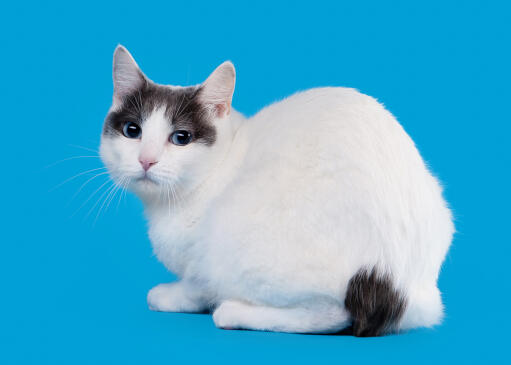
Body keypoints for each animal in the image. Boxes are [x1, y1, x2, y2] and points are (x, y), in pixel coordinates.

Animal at [101, 45, 456, 336]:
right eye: (132, 131)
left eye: (181, 138)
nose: (146, 160)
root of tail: (393, 281)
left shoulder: (201, 258)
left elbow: (197, 285)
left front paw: (172, 296)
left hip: (237, 233)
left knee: (332, 314)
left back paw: (234, 312)